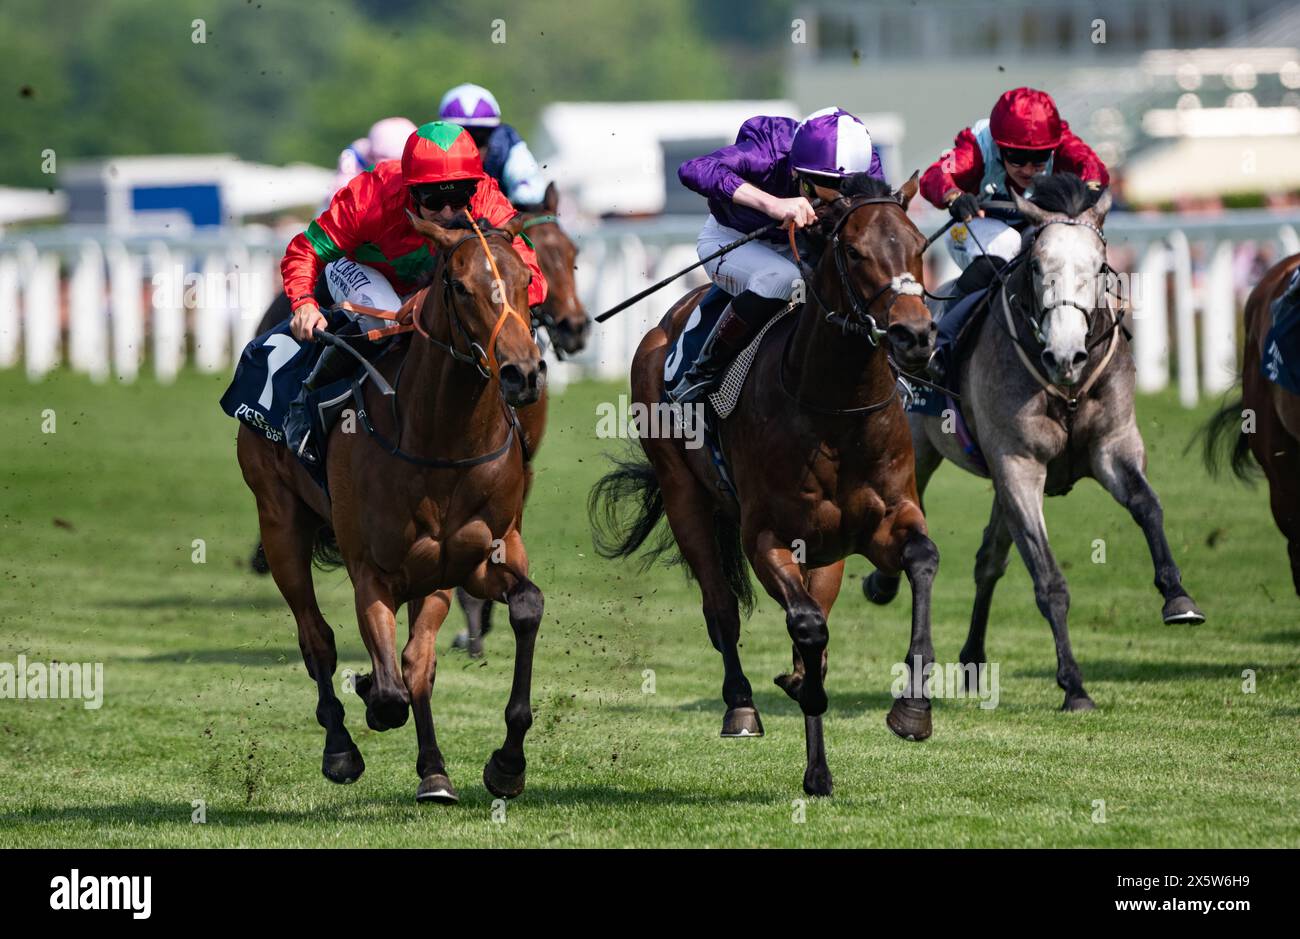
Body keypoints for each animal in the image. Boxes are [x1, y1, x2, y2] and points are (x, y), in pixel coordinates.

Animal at [237, 210, 543, 795]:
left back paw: (434, 772)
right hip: (278, 520)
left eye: (525, 282)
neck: (440, 440)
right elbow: (386, 687)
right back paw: (341, 747)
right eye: (460, 286)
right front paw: (369, 699)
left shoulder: (478, 557)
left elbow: (523, 608)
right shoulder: (372, 571)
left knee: (417, 661)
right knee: (317, 637)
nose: (522, 373)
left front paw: (507, 764)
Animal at [592, 171, 946, 795]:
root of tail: (667, 322)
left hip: (827, 551)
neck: (836, 409)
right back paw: (742, 706)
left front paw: (911, 712)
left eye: (919, 244)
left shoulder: (881, 522)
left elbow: (919, 561)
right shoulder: (767, 536)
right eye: (855, 252)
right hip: (685, 498)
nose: (915, 337)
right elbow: (804, 626)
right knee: (721, 609)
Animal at [868, 171, 1201, 707]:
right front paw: (1075, 686)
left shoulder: (1113, 447)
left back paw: (973, 659)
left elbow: (1148, 506)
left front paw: (1178, 597)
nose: (1065, 354)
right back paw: (882, 583)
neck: (1066, 386)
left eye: (1099, 266)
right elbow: (1048, 580)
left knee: (988, 561)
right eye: (1040, 267)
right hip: (916, 449)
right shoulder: (1018, 466)